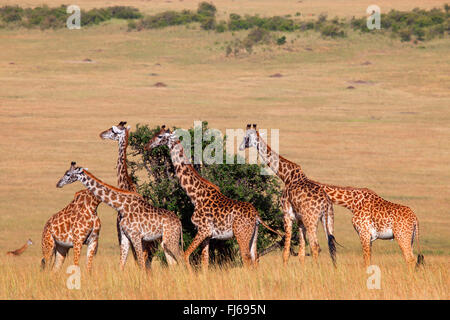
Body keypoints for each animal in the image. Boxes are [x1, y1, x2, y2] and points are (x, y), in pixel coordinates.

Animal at [144, 126, 282, 272]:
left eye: (160, 136)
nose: (147, 146)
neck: (195, 195)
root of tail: (256, 216)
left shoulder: (203, 229)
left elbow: (186, 255)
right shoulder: (208, 235)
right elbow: (205, 261)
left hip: (241, 234)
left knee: (247, 259)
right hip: (253, 235)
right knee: (255, 259)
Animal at [239, 124, 338, 266]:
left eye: (246, 137)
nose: (241, 147)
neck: (286, 176)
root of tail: (325, 203)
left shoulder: (287, 214)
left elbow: (285, 252)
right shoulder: (300, 220)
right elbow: (301, 253)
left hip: (311, 220)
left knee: (315, 246)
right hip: (328, 219)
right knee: (331, 248)